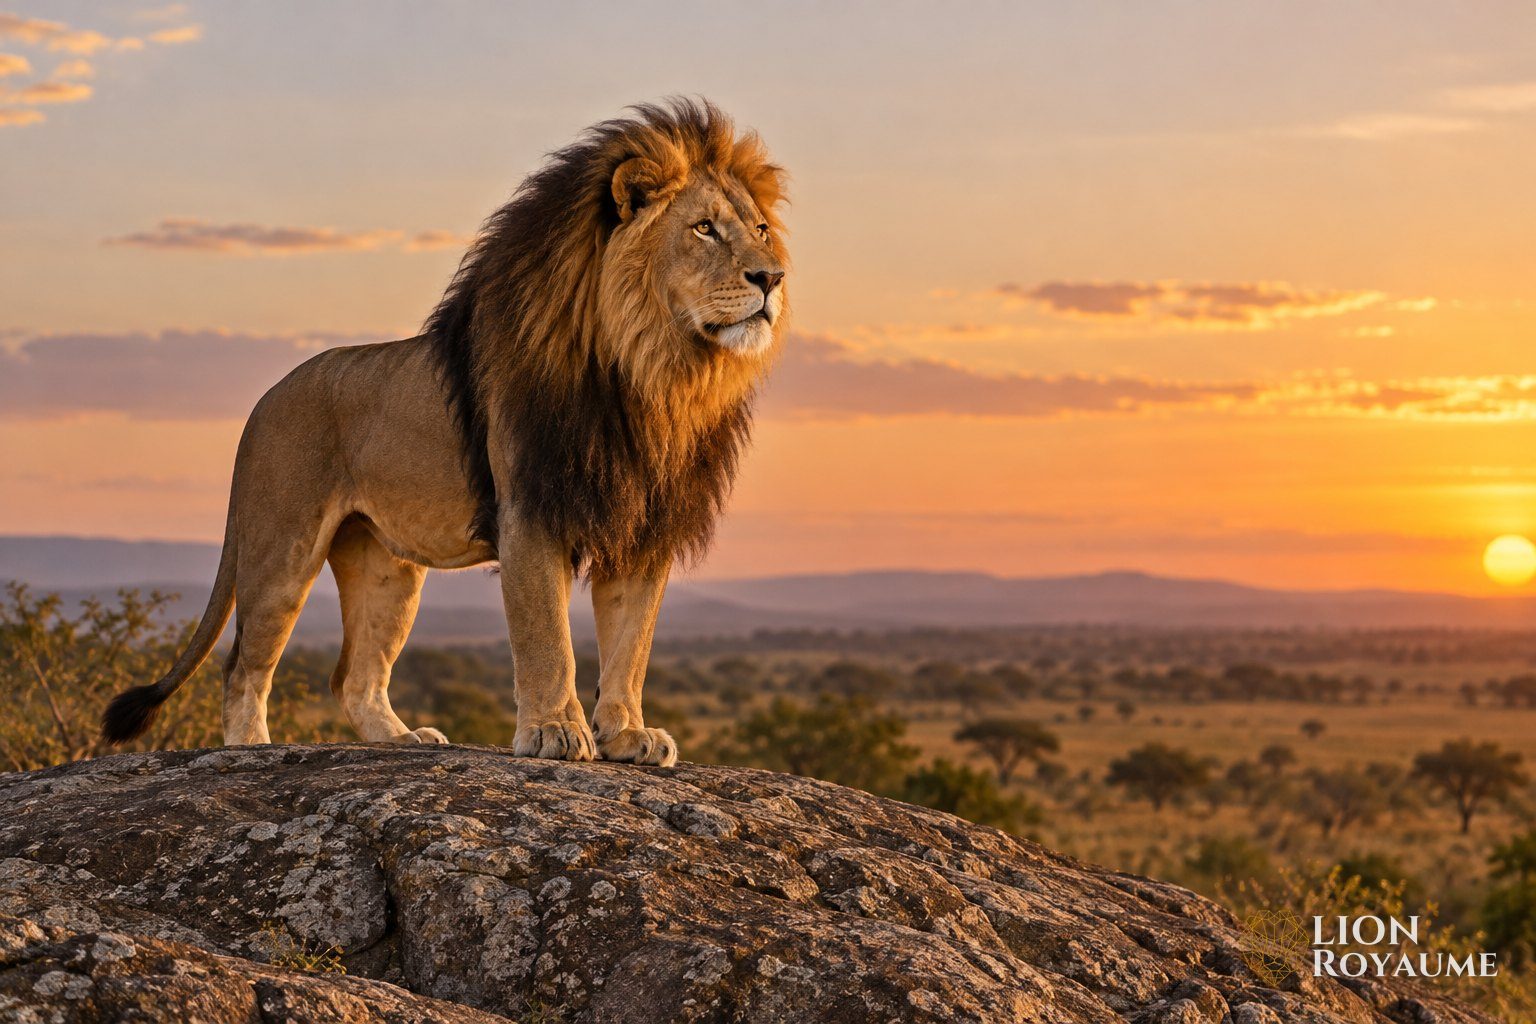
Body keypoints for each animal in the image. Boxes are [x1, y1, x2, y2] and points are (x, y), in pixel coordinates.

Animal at [101, 100, 788, 767]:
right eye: (703, 228)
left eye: (759, 230)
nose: (772, 278)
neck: (652, 372)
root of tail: (265, 401)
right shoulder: (530, 512)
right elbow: (547, 638)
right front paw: (555, 732)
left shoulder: (643, 522)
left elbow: (631, 644)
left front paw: (626, 735)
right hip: (281, 550)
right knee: (243, 666)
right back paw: (252, 749)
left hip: (387, 569)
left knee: (353, 677)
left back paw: (401, 739)